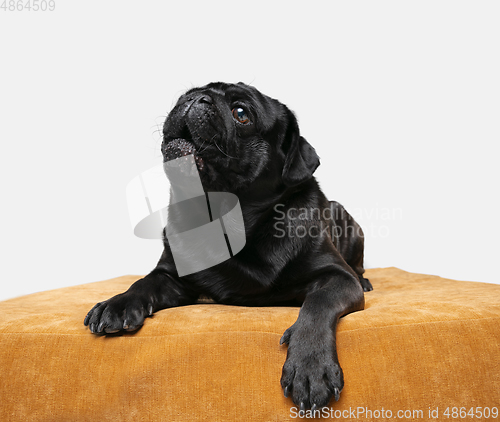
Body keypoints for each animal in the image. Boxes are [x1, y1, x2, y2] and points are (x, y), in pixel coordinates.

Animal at [85, 81, 372, 410]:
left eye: (241, 113)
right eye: (187, 93)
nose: (195, 98)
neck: (227, 222)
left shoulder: (338, 277)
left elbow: (317, 303)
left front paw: (310, 365)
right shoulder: (170, 277)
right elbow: (143, 283)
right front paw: (117, 303)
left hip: (347, 222)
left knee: (357, 268)